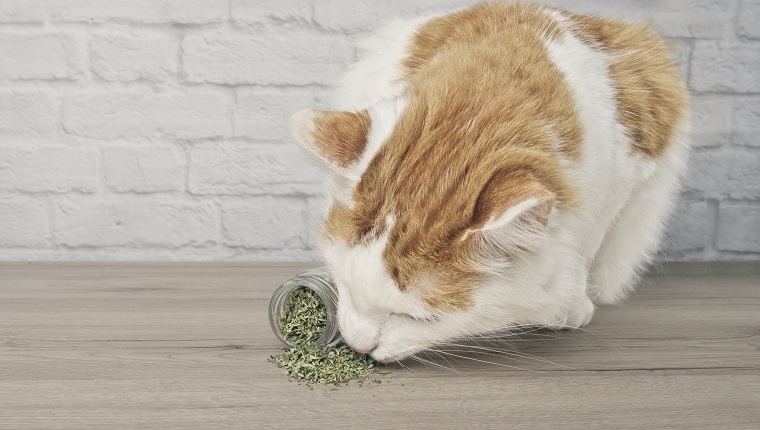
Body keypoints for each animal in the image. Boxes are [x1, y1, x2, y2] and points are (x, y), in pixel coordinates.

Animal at [290, 2, 688, 362]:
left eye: (417, 318)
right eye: (344, 284)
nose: (358, 347)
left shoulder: (627, 180)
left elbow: (586, 247)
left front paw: (571, 306)